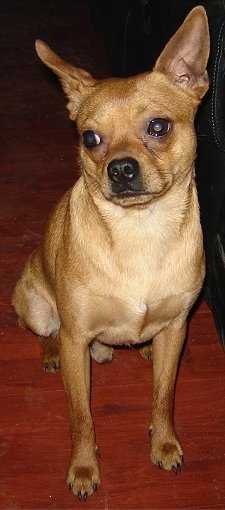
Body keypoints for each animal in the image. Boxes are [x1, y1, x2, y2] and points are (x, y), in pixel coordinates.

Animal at [11, 6, 209, 502]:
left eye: (158, 127)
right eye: (90, 139)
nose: (120, 169)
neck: (140, 231)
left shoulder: (177, 327)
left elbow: (163, 398)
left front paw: (164, 443)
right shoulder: (76, 335)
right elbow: (81, 418)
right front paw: (84, 468)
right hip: (37, 309)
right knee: (44, 331)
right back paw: (55, 352)